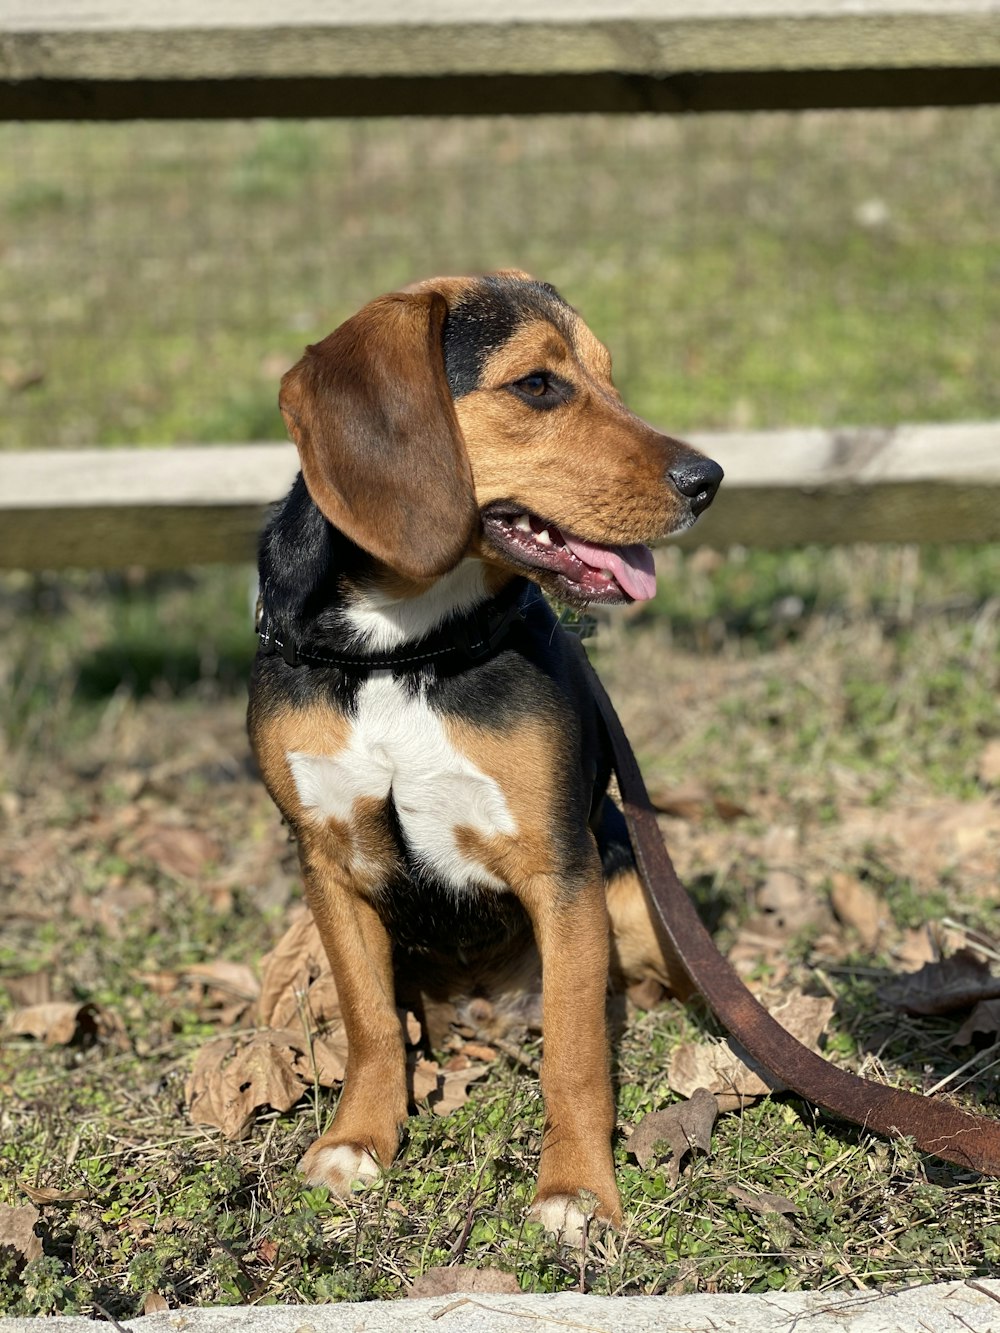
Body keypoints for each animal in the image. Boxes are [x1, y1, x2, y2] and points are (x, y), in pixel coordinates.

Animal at [246, 270, 725, 1237]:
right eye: (538, 385)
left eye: (609, 377)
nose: (709, 480)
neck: (401, 646)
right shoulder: (328, 863)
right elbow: (368, 1024)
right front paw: (358, 1138)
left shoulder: (561, 873)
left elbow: (575, 1054)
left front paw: (576, 1188)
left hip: (634, 899)